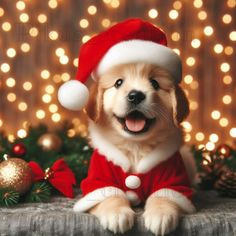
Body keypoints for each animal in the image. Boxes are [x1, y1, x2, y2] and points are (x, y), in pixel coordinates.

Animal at [74, 62, 195, 234]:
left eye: (155, 83)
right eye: (118, 83)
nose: (136, 95)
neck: (135, 145)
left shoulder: (173, 178)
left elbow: (164, 195)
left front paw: (161, 214)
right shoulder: (99, 178)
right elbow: (110, 194)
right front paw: (117, 213)